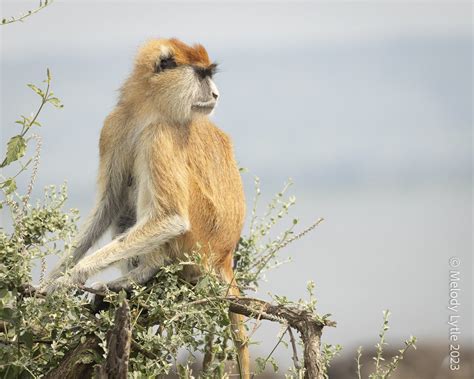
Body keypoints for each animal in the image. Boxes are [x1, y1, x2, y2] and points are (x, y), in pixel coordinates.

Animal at [46, 37, 250, 378]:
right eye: (202, 75)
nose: (216, 94)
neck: (149, 110)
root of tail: (224, 256)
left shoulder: (161, 135)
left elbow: (171, 218)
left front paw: (76, 275)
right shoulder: (113, 126)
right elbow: (109, 204)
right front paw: (52, 278)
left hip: (197, 244)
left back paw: (143, 272)